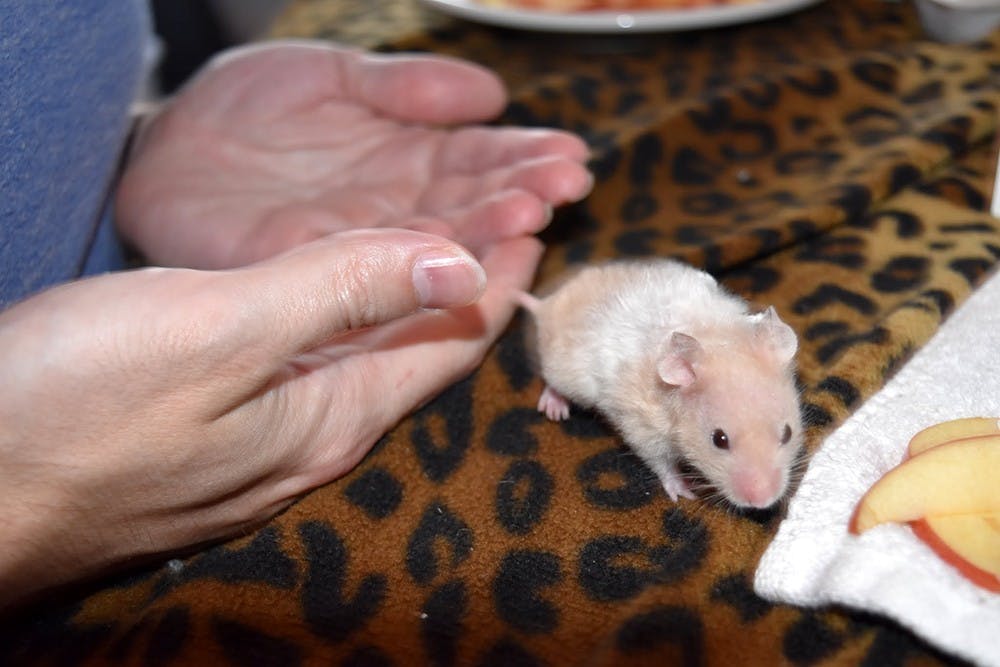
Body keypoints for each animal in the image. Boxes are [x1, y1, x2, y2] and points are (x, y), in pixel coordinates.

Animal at [516, 258, 804, 508]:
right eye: (719, 440)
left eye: (788, 433)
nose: (763, 502)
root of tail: (546, 305)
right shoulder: (641, 427)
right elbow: (660, 462)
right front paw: (684, 492)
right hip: (566, 374)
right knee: (552, 383)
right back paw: (555, 409)